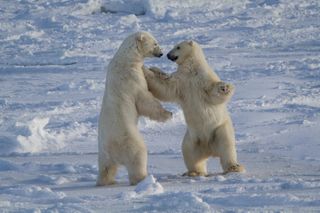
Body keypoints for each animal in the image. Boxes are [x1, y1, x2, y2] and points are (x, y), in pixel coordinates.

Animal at [97, 31, 172, 186]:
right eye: (155, 43)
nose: (161, 53)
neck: (127, 59)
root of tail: (114, 153)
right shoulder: (131, 79)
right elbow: (145, 100)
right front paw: (168, 114)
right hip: (129, 141)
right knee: (138, 157)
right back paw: (142, 178)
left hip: (103, 153)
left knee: (106, 167)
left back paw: (106, 181)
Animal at [143, 40, 245, 176]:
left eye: (177, 47)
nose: (168, 55)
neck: (192, 69)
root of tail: (209, 149)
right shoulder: (182, 80)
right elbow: (166, 87)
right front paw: (148, 68)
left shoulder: (204, 78)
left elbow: (214, 94)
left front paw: (225, 87)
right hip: (192, 139)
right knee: (189, 153)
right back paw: (194, 172)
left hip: (219, 129)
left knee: (227, 146)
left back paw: (234, 168)